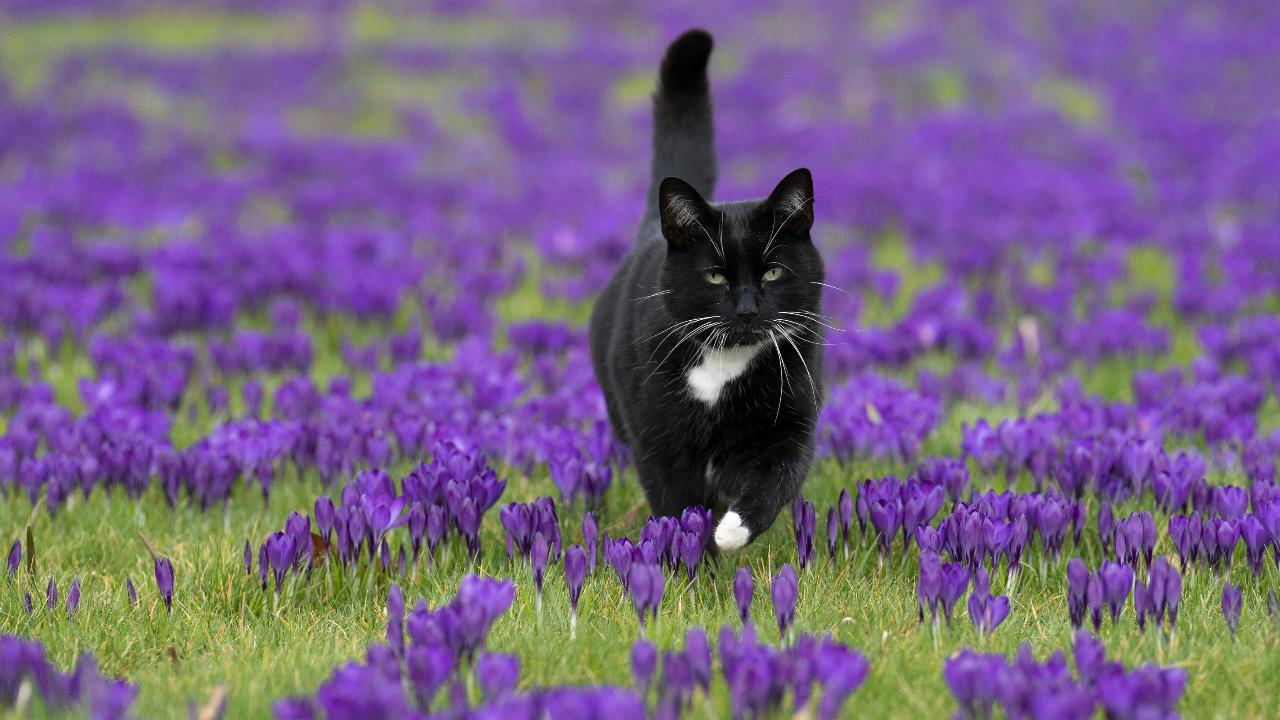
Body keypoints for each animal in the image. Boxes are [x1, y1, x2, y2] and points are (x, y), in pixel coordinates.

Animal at [591, 26, 829, 543]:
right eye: (716, 275)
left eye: (772, 272)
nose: (746, 309)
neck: (724, 363)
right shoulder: (658, 449)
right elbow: (678, 509)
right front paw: (694, 554)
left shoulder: (792, 421)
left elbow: (776, 476)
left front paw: (732, 530)